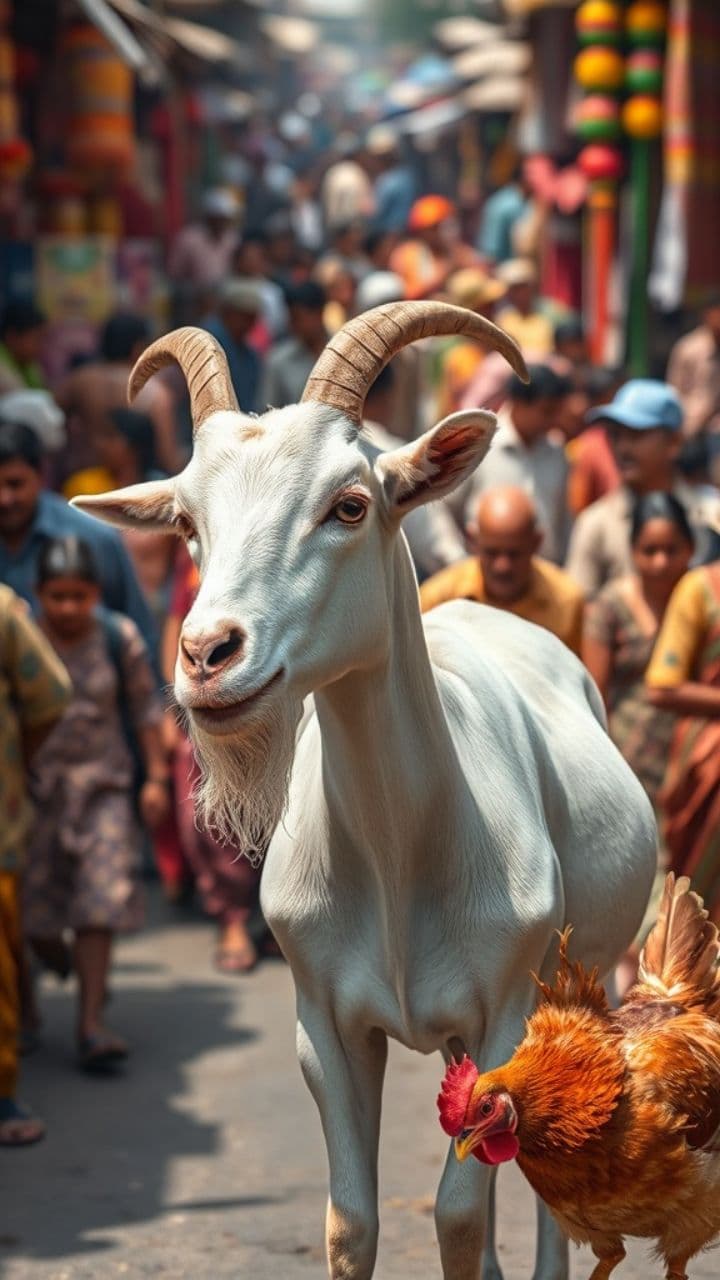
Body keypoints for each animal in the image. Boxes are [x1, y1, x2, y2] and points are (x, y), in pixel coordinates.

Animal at [74, 303, 657, 1280]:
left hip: (584, 982)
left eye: (348, 506)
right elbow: (351, 1221)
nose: (206, 654)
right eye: (187, 523)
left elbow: (459, 1215)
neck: (401, 852)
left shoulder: (507, 1012)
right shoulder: (326, 1027)